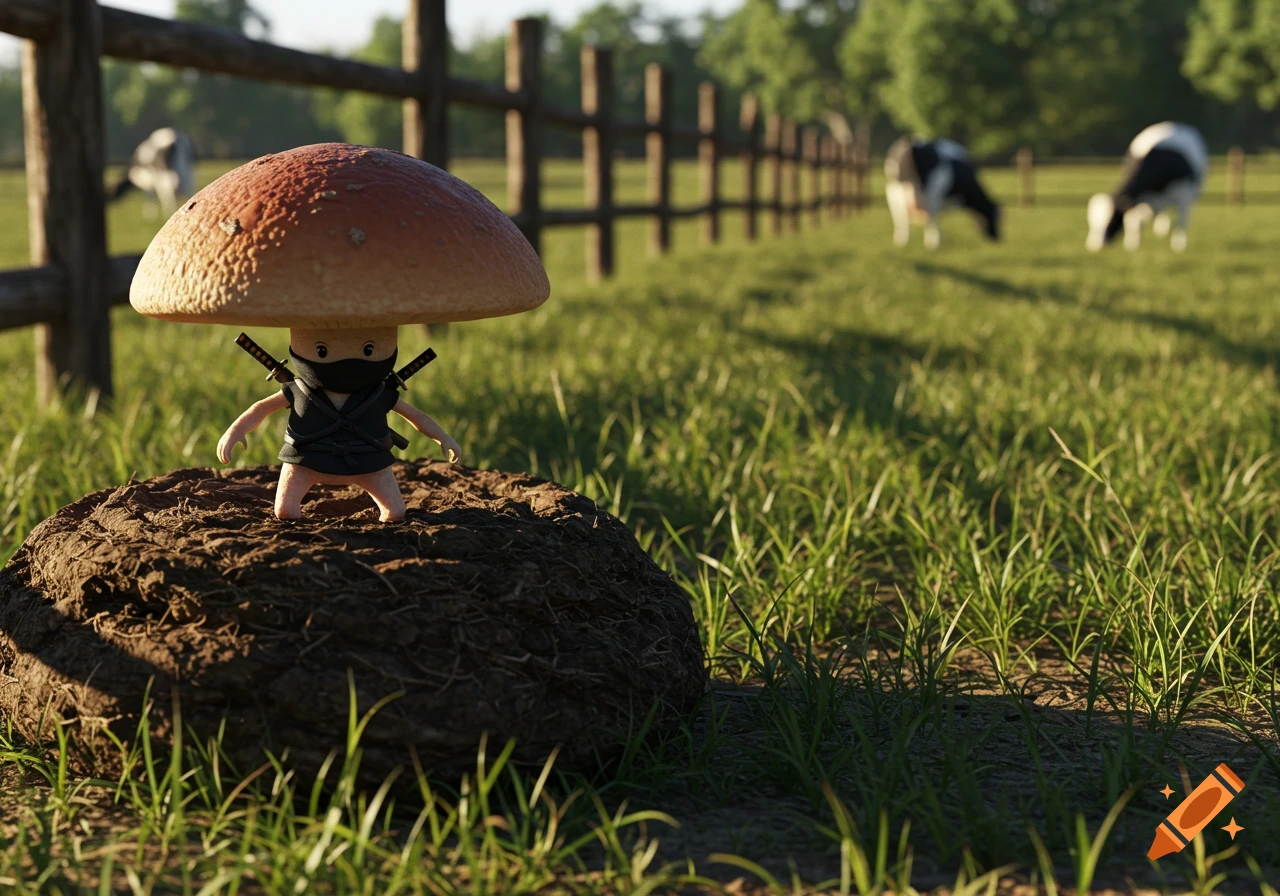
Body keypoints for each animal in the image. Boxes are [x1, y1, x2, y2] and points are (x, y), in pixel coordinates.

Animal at [1086, 122, 1208, 253]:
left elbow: (1181, 222)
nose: (1094, 245)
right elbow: (1133, 221)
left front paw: (1179, 246)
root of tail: (1172, 123)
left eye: (1112, 219)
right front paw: (1133, 245)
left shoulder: (1184, 197)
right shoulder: (1139, 199)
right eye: (1091, 221)